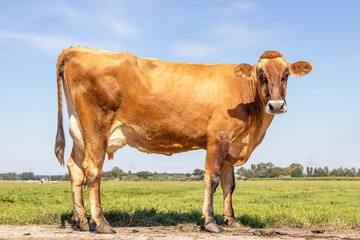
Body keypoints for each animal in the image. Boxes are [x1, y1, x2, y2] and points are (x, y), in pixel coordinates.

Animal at [54, 47, 312, 233]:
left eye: (286, 75)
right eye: (261, 75)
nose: (276, 105)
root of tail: (77, 49)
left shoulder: (231, 145)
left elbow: (229, 184)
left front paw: (231, 220)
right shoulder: (218, 138)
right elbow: (212, 179)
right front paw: (210, 222)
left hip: (79, 131)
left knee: (75, 169)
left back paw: (82, 221)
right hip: (96, 127)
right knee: (93, 171)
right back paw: (101, 223)